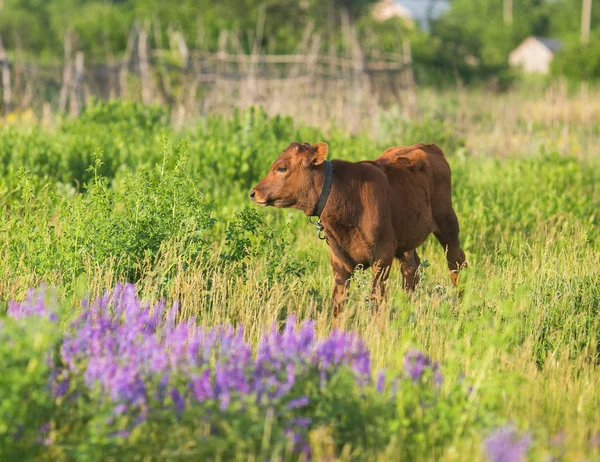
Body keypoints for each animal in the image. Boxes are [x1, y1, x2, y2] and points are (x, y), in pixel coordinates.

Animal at [251, 142, 466, 318]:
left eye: (282, 168)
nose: (254, 192)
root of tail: (427, 146)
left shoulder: (382, 257)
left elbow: (376, 301)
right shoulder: (339, 261)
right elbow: (338, 304)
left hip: (448, 224)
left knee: (456, 262)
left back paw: (461, 305)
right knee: (411, 268)